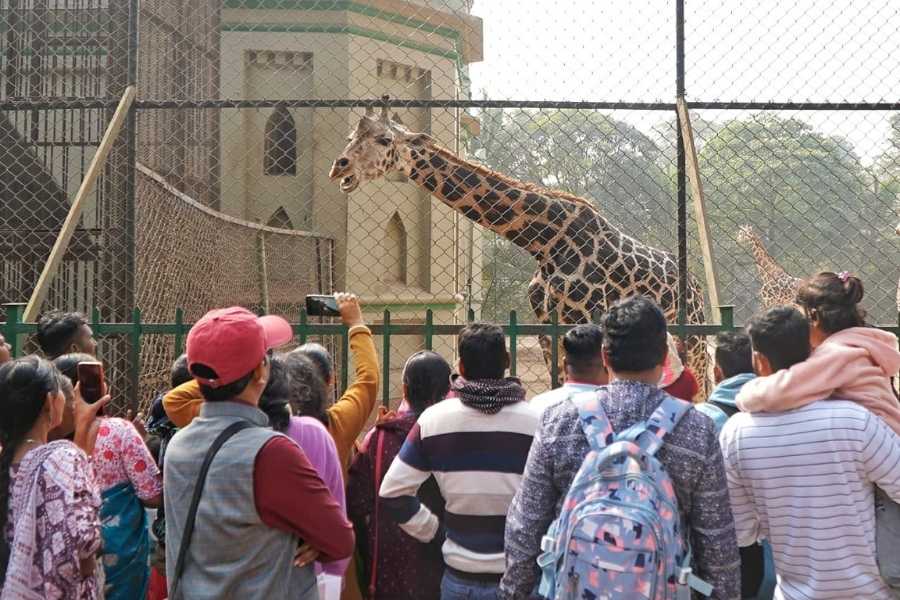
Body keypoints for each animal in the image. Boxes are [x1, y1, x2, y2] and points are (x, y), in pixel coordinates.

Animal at [329, 102, 709, 394]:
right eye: (350, 138)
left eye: (385, 139)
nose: (339, 166)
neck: (545, 242)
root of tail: (695, 285)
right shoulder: (546, 330)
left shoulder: (586, 319)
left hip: (694, 335)